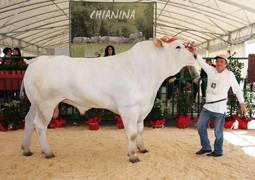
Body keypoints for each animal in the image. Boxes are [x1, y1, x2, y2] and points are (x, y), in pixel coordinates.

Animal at [20, 38, 195, 162]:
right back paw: (48, 152)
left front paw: (142, 148)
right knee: (39, 126)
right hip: (46, 104)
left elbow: (140, 130)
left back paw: (26, 149)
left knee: (28, 121)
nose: (194, 55)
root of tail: (37, 59)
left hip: (35, 104)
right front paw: (133, 156)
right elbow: (132, 133)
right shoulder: (129, 108)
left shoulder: (142, 108)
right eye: (178, 47)